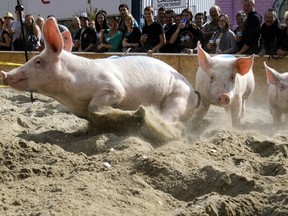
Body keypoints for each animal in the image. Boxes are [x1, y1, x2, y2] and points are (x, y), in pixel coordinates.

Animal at [0, 17, 199, 125]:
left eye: (38, 61)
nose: (5, 74)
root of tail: (194, 93)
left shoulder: (112, 87)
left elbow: (95, 106)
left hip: (178, 97)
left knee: (169, 117)